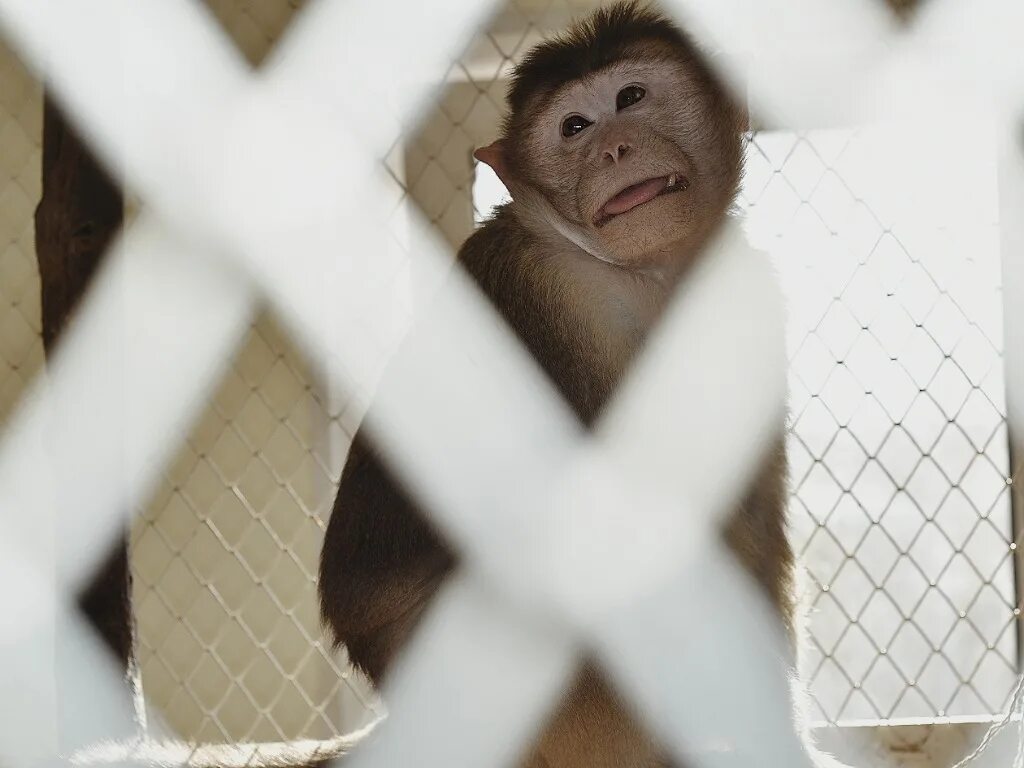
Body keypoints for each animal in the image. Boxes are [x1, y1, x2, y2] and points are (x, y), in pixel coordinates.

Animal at [323, 3, 802, 765]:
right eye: (574, 128)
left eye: (630, 97)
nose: (615, 149)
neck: (646, 276)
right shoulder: (547, 295)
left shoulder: (744, 292)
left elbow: (750, 523)